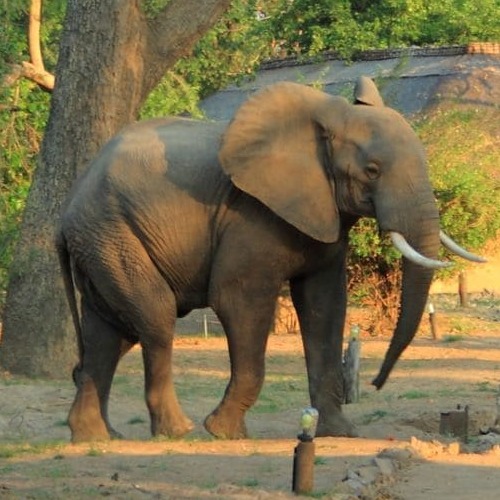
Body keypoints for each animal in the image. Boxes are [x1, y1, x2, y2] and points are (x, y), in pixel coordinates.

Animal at [56, 75, 482, 442]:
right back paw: (178, 431)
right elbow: (240, 300)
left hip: (104, 244)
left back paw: (96, 437)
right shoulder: (251, 216)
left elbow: (325, 308)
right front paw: (224, 432)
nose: (376, 384)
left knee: (109, 333)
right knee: (156, 319)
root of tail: (67, 210)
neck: (328, 119)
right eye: (372, 171)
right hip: (112, 232)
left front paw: (339, 433)